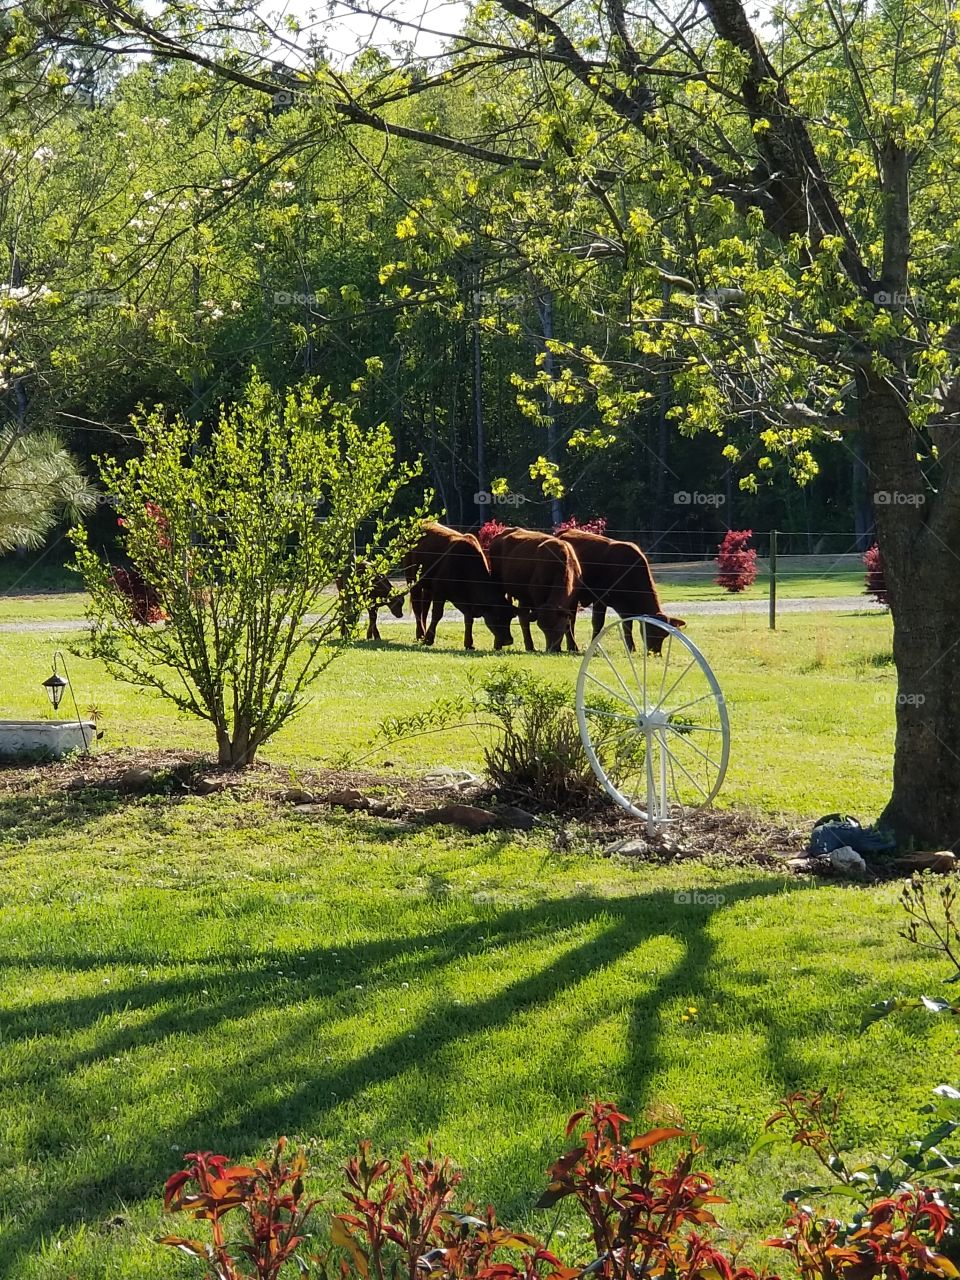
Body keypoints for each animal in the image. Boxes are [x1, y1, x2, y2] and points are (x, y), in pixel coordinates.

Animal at [556, 528, 685, 654]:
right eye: (652, 630)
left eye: (665, 635)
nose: (656, 653)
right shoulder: (600, 599)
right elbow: (598, 623)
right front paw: (594, 647)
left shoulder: (625, 607)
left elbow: (627, 625)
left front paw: (631, 648)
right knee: (570, 620)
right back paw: (572, 646)